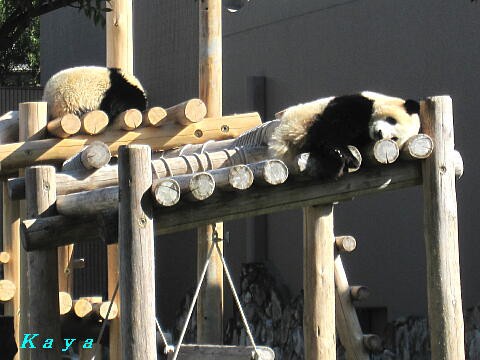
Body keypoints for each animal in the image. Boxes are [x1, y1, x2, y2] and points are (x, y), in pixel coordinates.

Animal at [270, 91, 420, 179]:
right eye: (391, 120)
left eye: (395, 138)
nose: (380, 134)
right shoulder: (357, 104)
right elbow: (332, 127)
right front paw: (346, 155)